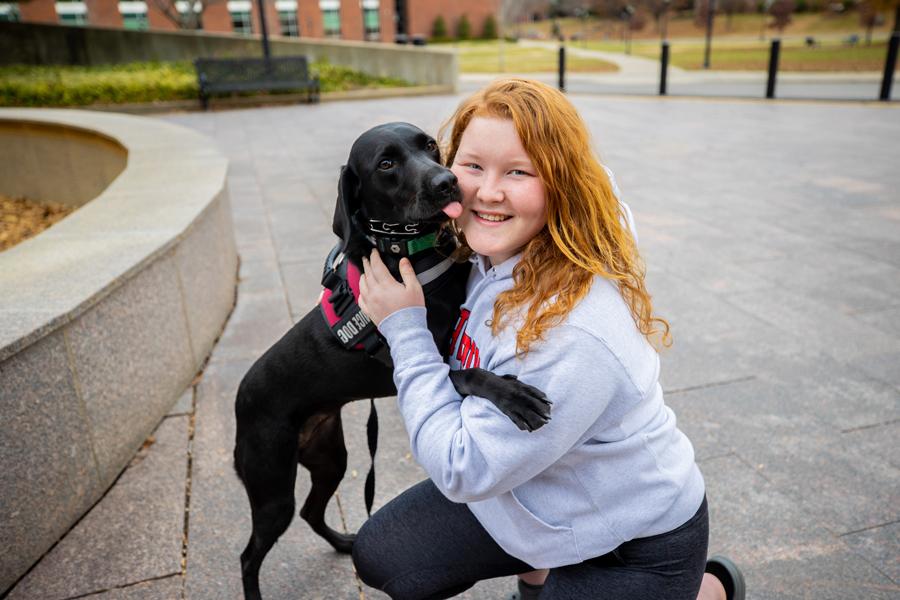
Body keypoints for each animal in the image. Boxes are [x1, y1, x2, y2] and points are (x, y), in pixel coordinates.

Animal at [232, 123, 552, 600]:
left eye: (430, 145)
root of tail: (239, 401)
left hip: (329, 457)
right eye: (386, 163)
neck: (409, 251)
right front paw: (513, 396)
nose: (447, 182)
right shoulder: (412, 366)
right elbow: (469, 373)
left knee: (311, 511)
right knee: (250, 555)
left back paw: (345, 543)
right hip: (271, 487)